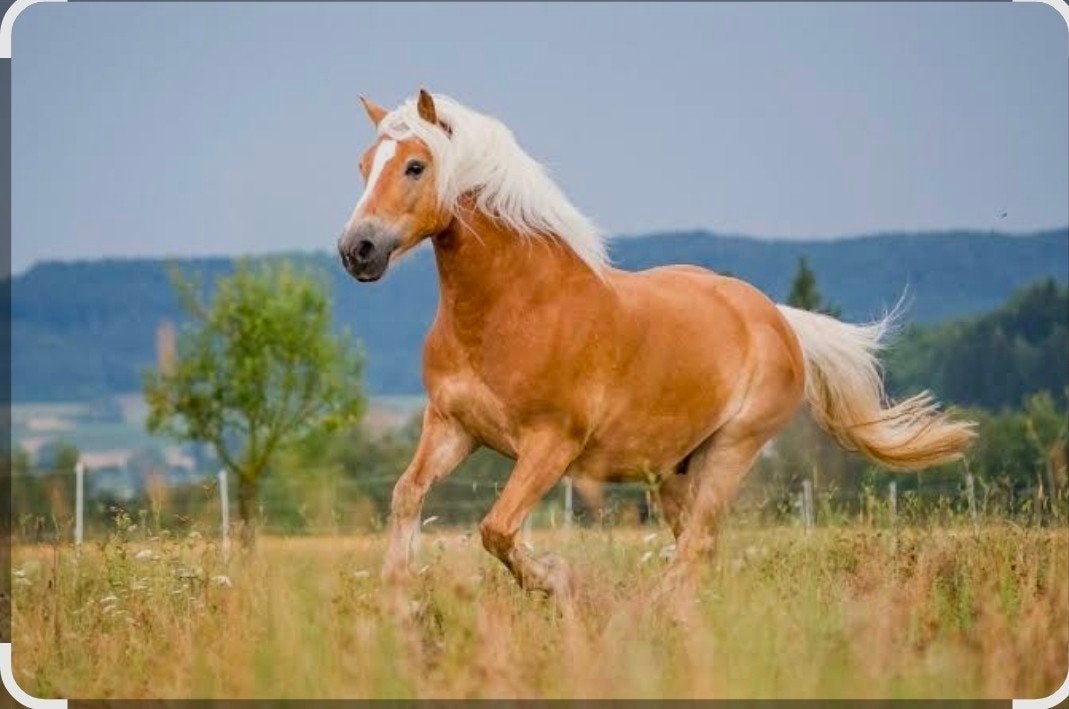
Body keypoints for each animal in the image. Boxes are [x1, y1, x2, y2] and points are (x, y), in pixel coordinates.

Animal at [336, 89, 975, 611]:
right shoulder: (452, 427)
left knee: (694, 548)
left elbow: (495, 529)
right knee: (697, 548)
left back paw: (647, 614)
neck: (515, 307)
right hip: (673, 472)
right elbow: (406, 496)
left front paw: (559, 581)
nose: (356, 250)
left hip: (730, 453)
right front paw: (399, 606)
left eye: (415, 165)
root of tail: (776, 318)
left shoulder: (550, 445)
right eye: (364, 166)